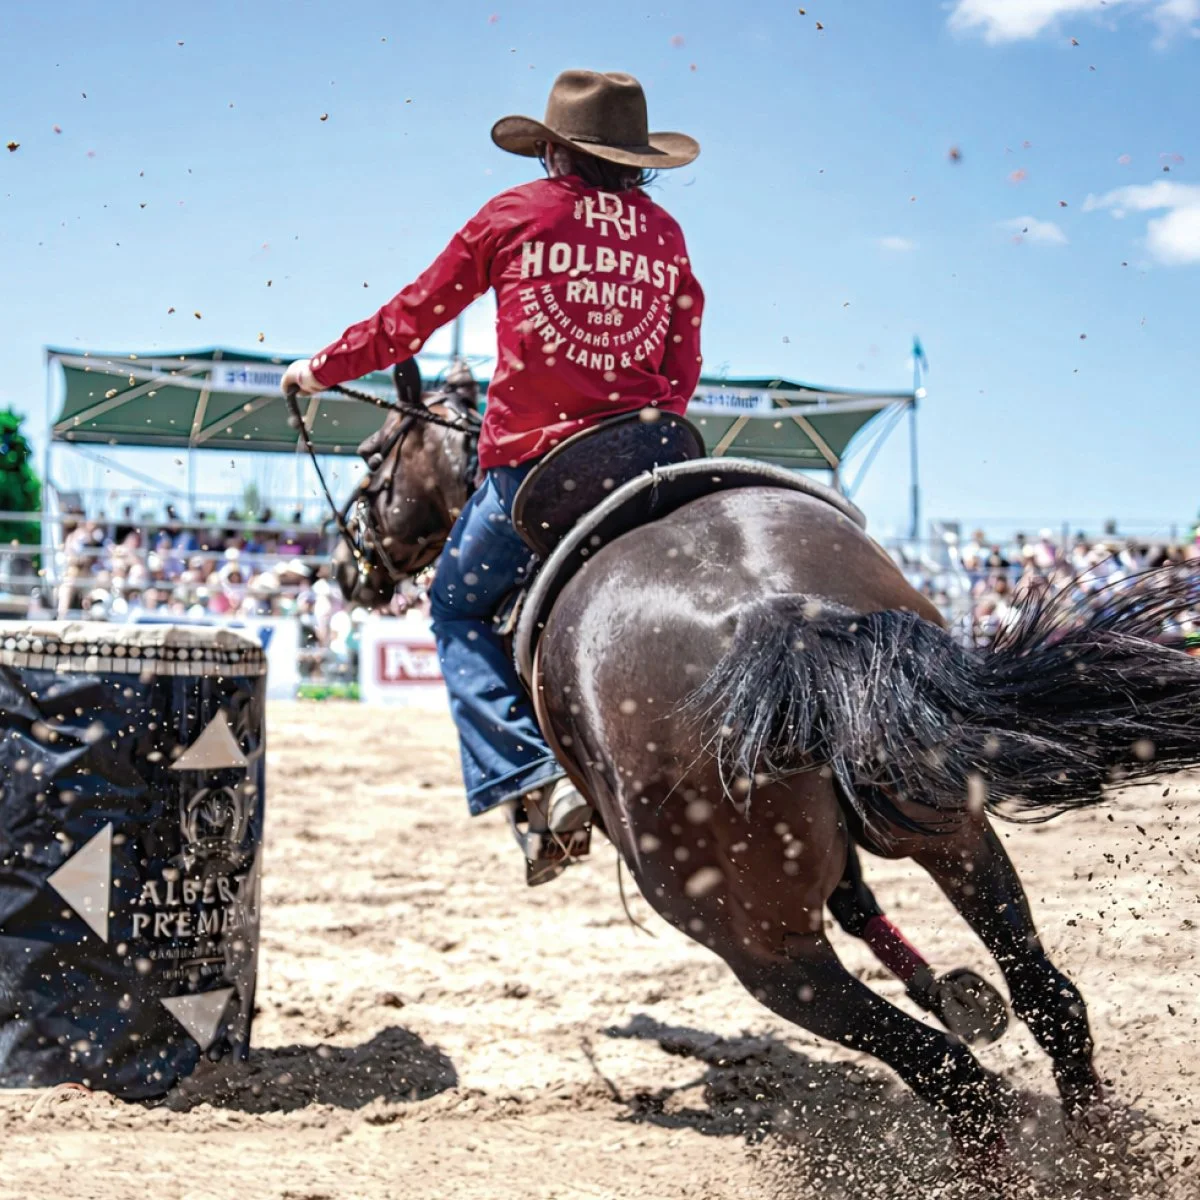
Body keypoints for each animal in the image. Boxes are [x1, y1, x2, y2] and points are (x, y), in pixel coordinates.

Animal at [325, 364, 1200, 1157]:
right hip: (950, 827)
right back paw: (1096, 1148)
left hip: (754, 942)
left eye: (371, 453)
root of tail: (778, 613)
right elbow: (864, 904)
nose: (344, 565)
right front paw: (944, 987)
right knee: (1047, 998)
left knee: (950, 1074)